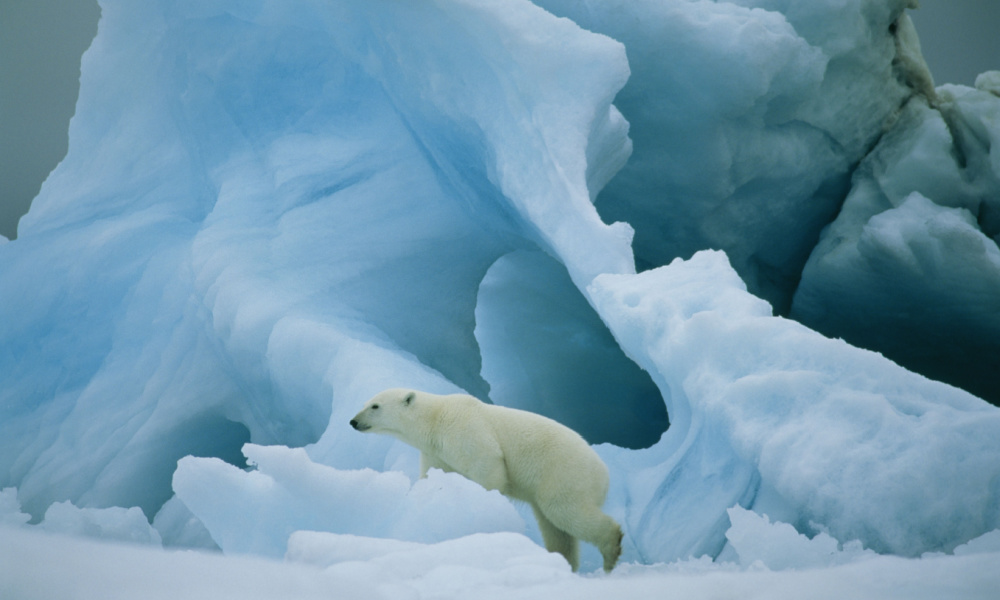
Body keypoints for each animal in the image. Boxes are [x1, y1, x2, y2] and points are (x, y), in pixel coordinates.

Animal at [348, 390, 620, 572]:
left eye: (375, 406)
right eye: (364, 403)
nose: (353, 421)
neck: (435, 418)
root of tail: (605, 474)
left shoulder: (464, 429)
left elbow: (488, 463)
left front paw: (485, 505)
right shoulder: (436, 450)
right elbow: (433, 473)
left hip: (564, 474)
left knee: (566, 513)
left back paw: (611, 551)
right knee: (556, 529)